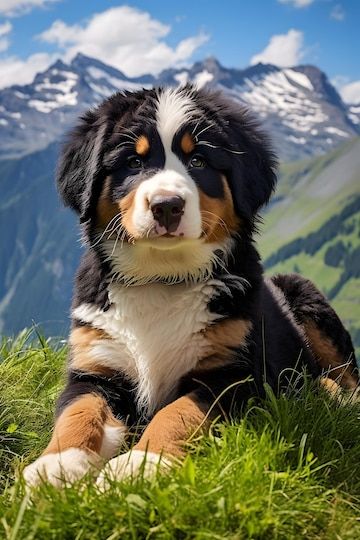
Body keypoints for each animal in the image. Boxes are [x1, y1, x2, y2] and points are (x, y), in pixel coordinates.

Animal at [22, 86, 358, 488]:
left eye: (198, 161)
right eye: (133, 163)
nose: (166, 205)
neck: (162, 277)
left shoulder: (232, 373)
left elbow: (177, 412)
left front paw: (141, 465)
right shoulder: (95, 367)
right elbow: (79, 411)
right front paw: (57, 466)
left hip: (303, 292)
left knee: (346, 379)